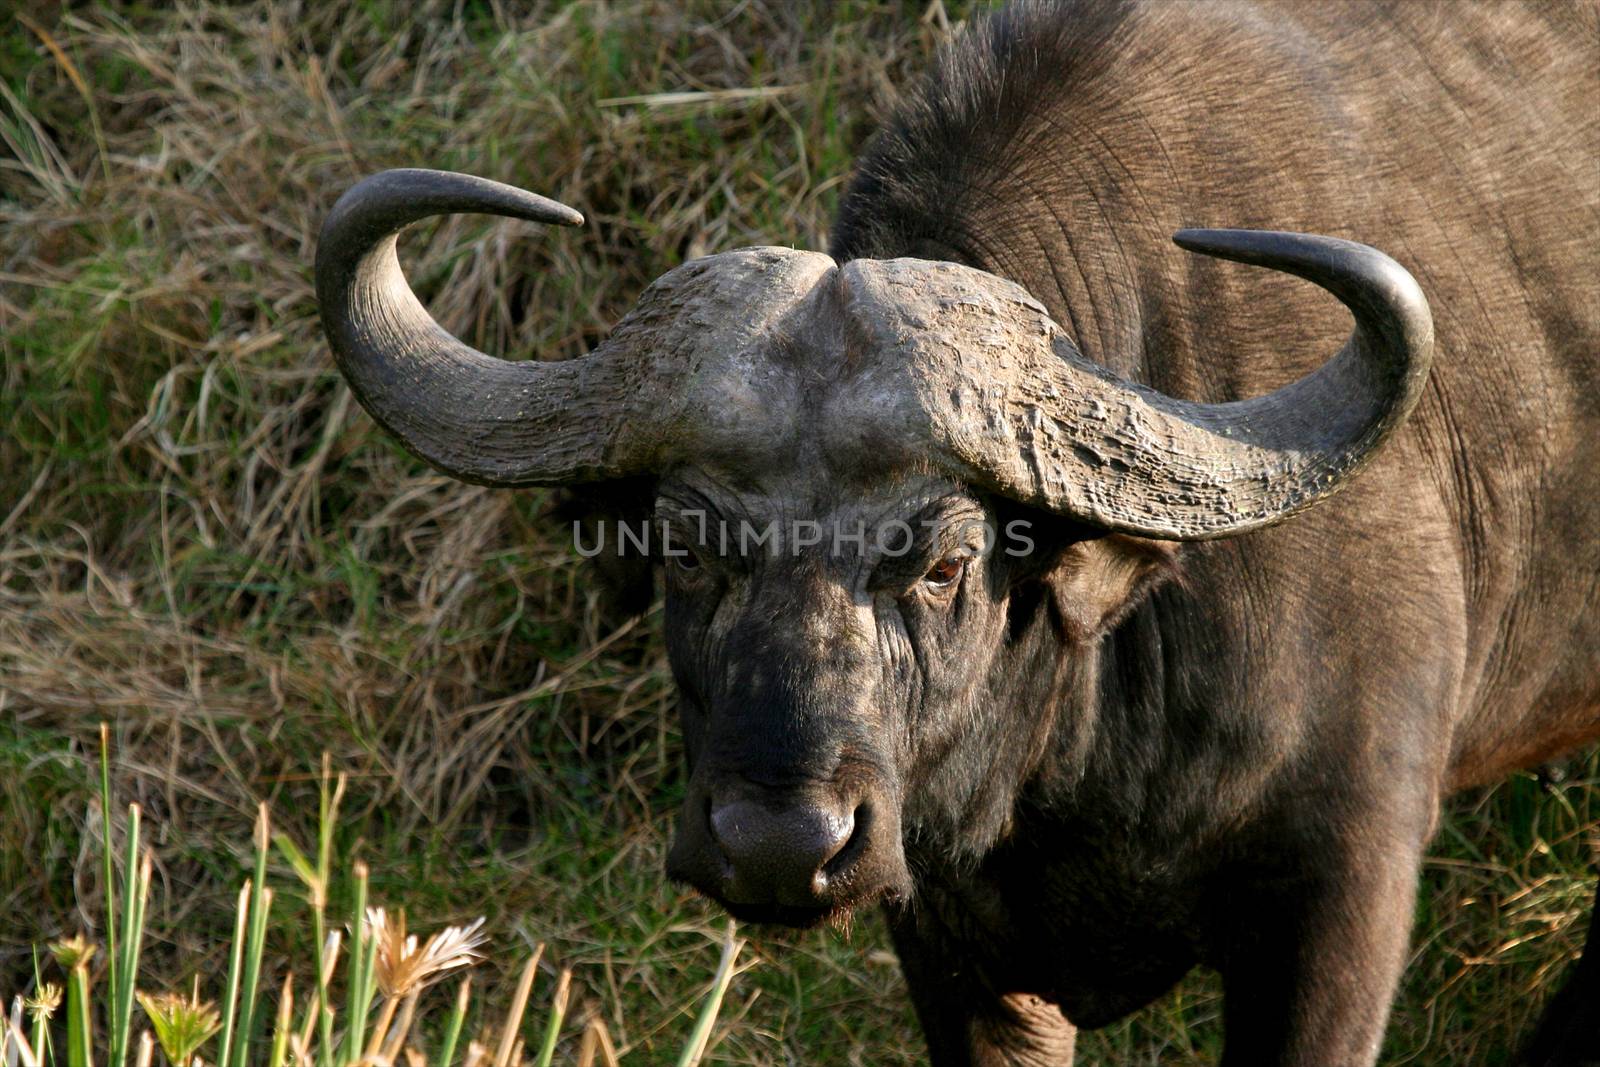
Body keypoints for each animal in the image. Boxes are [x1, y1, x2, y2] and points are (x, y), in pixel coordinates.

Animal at [315, 4, 1600, 1062]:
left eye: (945, 563)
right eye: (686, 550)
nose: (780, 840)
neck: (1090, 730)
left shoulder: (1339, 896)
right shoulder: (949, 941)